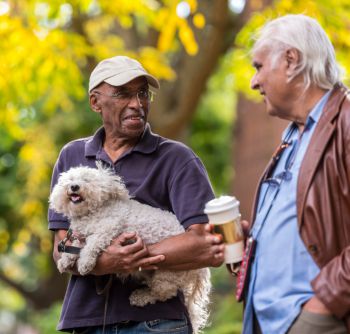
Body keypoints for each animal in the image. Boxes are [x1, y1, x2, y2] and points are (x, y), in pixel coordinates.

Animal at [49, 163, 211, 332]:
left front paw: (85, 263)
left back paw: (141, 297)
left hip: (167, 273)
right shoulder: (82, 236)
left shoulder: (108, 228)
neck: (92, 212)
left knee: (165, 293)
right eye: (70, 179)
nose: (74, 186)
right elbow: (75, 246)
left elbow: (91, 245)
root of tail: (200, 270)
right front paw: (65, 261)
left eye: (87, 180)